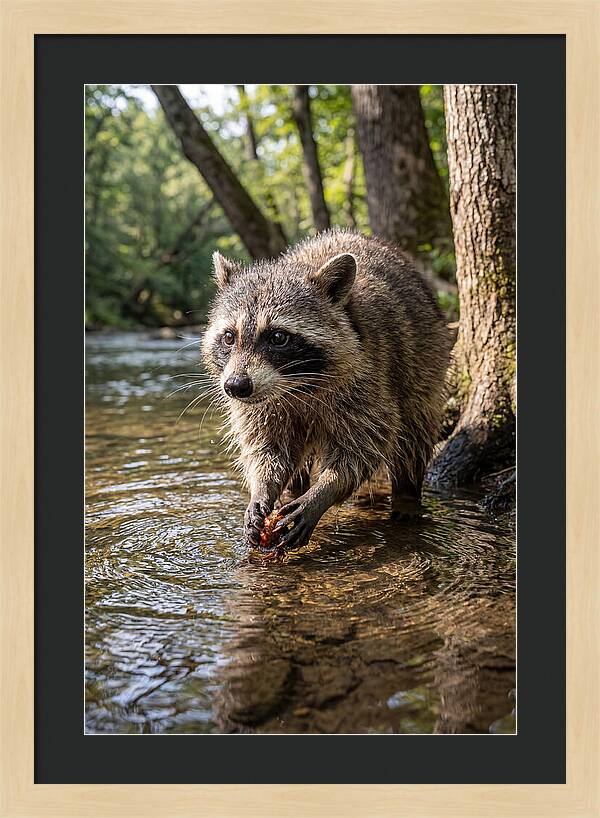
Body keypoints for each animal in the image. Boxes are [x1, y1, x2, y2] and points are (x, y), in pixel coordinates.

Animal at [202, 229, 452, 552]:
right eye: (229, 337)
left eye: (278, 337)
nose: (235, 387)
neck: (295, 385)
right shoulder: (261, 405)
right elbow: (267, 449)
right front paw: (262, 488)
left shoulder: (368, 379)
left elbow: (364, 447)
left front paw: (324, 492)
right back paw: (292, 491)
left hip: (425, 361)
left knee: (413, 435)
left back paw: (407, 495)